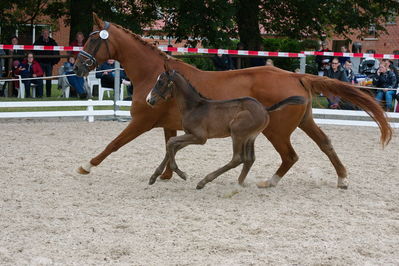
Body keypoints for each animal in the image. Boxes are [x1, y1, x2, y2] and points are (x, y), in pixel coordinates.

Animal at [147, 69, 306, 188]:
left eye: (160, 82)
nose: (149, 100)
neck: (194, 107)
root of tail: (264, 109)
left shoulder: (200, 138)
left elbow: (171, 142)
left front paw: (182, 174)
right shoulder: (189, 135)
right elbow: (172, 147)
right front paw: (154, 176)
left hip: (237, 133)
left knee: (237, 158)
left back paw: (204, 182)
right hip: (250, 137)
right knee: (249, 159)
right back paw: (239, 183)